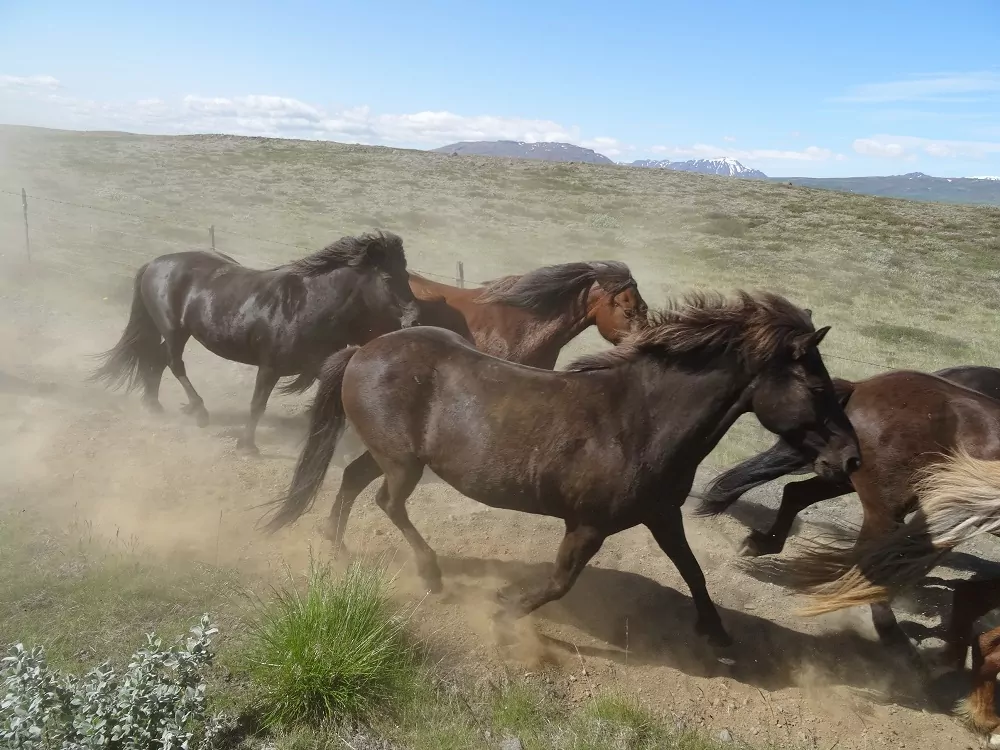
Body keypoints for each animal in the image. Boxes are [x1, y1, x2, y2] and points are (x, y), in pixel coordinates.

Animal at [90, 230, 421, 455]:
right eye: (388, 279)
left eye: (407, 275)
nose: (416, 319)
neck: (308, 305)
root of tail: (154, 263)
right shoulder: (269, 367)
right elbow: (257, 405)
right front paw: (247, 446)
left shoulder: (317, 365)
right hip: (173, 329)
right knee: (173, 363)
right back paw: (198, 412)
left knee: (156, 360)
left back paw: (154, 405)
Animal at [262, 291, 861, 650]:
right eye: (817, 385)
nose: (851, 458)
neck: (640, 421)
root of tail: (364, 349)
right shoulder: (588, 525)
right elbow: (558, 582)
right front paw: (506, 612)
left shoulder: (663, 515)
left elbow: (693, 571)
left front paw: (717, 636)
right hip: (403, 464)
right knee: (386, 501)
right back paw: (429, 575)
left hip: (396, 456)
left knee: (351, 481)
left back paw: (337, 546)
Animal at [697, 367, 1000, 660]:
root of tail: (862, 387)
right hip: (885, 506)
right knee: (873, 563)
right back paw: (894, 638)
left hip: (844, 475)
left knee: (796, 493)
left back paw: (760, 544)